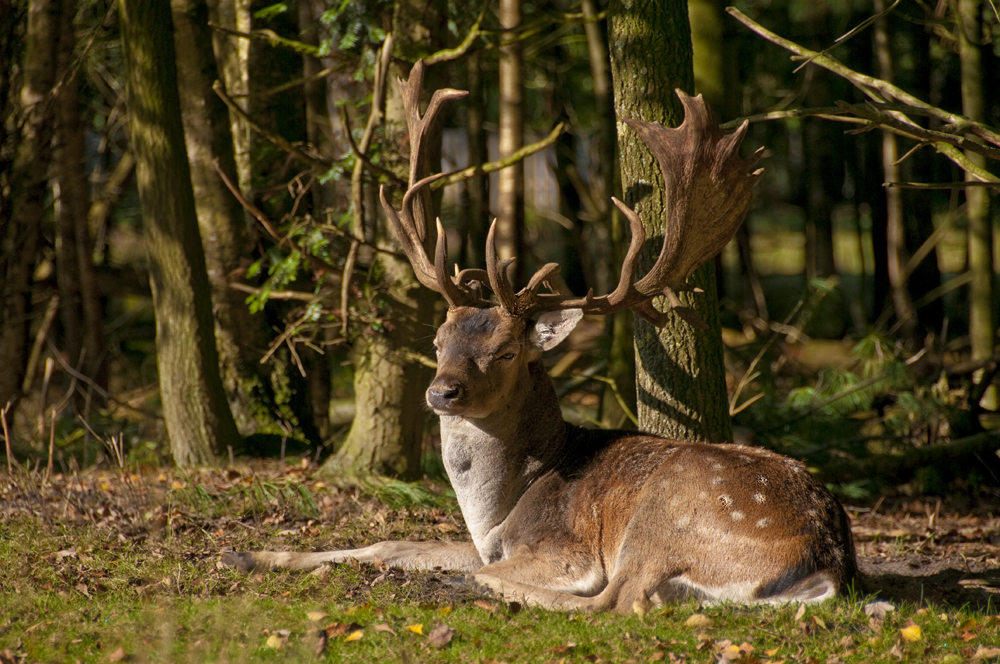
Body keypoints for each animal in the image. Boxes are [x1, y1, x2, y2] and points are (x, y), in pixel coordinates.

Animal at [221, 62, 860, 612]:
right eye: (437, 342)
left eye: (504, 352)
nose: (441, 392)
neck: (499, 511)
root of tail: (828, 562)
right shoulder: (481, 542)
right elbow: (388, 543)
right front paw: (245, 555)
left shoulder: (562, 549)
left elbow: (511, 570)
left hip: (666, 515)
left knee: (617, 600)